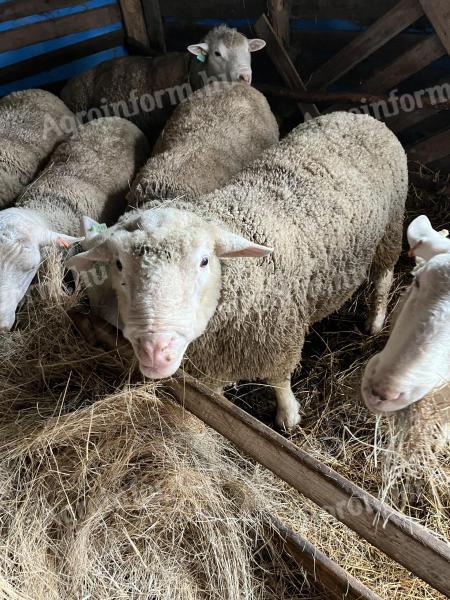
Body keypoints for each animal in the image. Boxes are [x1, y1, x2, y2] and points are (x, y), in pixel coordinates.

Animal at [69, 112, 408, 428]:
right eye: (118, 265)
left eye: (204, 261)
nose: (155, 350)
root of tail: (354, 116)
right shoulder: (213, 365)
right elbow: (217, 397)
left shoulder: (278, 338)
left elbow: (279, 380)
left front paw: (288, 415)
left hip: (390, 229)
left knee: (383, 276)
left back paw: (375, 321)